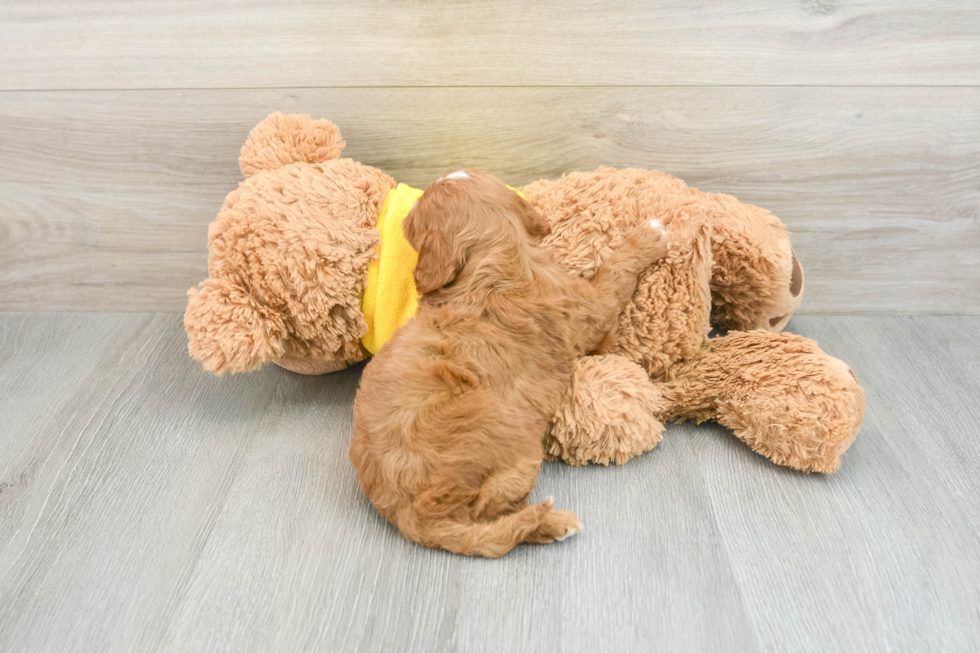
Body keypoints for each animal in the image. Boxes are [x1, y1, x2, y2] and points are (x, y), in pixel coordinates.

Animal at [346, 168, 668, 556]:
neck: (497, 262)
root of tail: (413, 516)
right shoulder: (593, 309)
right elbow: (615, 271)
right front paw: (649, 235)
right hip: (515, 441)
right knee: (492, 512)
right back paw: (552, 524)